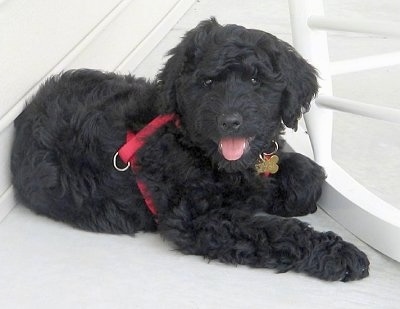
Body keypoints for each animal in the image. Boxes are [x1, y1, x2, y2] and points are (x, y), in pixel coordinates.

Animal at [10, 18, 370, 280]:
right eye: (207, 83)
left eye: (256, 81)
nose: (230, 121)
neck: (194, 145)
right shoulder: (200, 220)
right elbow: (274, 231)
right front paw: (337, 254)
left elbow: (305, 173)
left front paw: (289, 189)